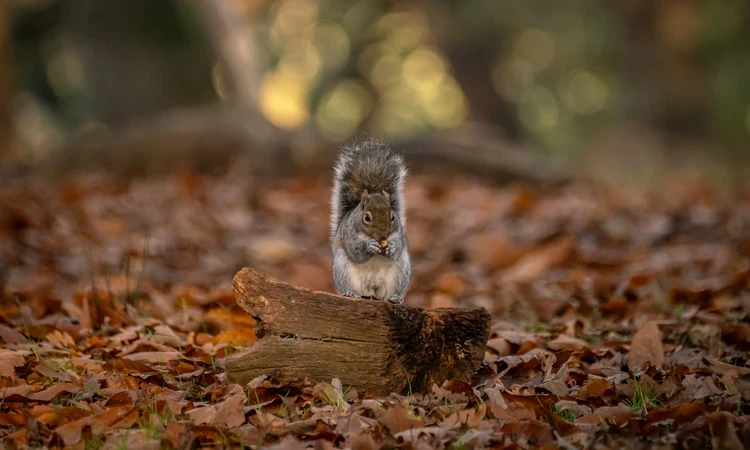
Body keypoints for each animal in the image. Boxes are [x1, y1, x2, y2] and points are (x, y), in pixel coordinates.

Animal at [330, 139, 411, 304]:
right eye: (367, 217)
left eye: (393, 216)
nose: (383, 237)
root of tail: (373, 288)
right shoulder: (349, 236)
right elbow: (356, 251)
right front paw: (370, 246)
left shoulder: (399, 234)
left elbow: (398, 246)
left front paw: (392, 247)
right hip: (343, 271)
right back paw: (350, 293)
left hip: (400, 273)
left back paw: (395, 298)